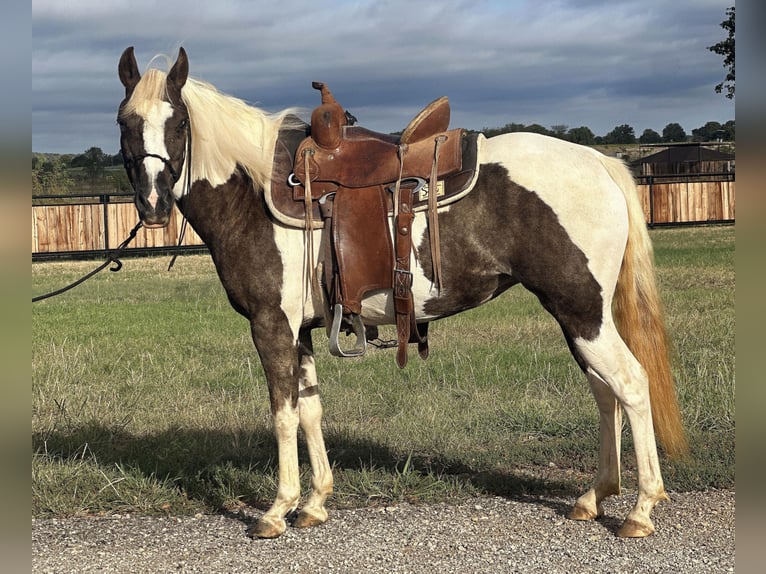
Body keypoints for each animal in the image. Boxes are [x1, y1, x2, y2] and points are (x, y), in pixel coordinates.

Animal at [118, 47, 688, 544]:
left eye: (178, 122)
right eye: (125, 122)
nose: (152, 204)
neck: (252, 191)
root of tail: (597, 162)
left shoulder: (270, 324)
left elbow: (283, 415)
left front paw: (277, 510)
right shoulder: (301, 331)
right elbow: (310, 410)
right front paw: (315, 503)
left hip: (581, 311)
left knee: (630, 385)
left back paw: (640, 509)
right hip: (577, 316)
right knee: (605, 393)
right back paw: (594, 497)